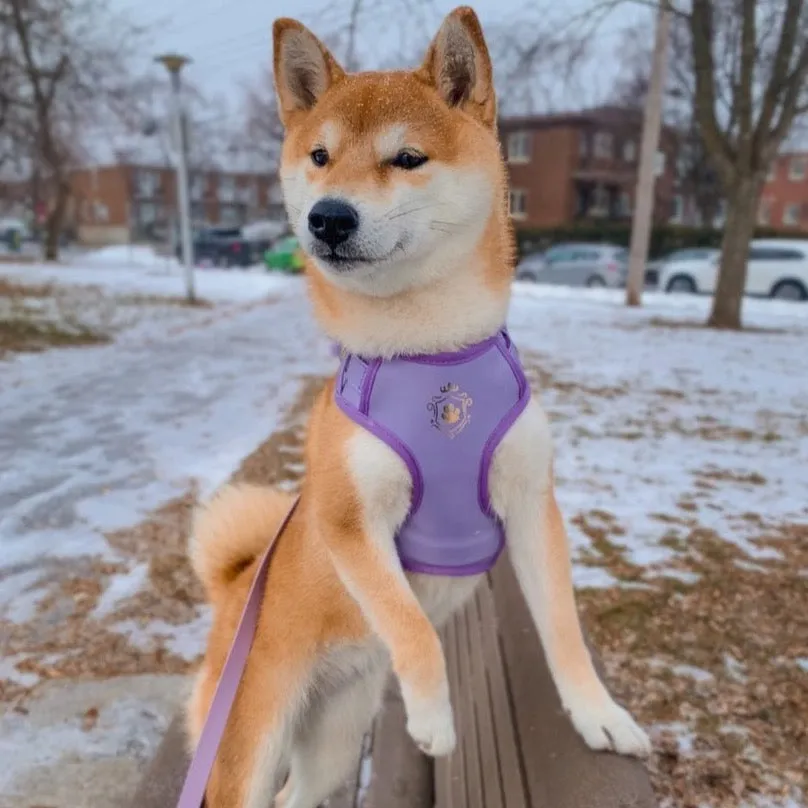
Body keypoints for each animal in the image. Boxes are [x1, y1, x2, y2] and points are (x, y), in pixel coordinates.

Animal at [188, 7, 652, 808]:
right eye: (319, 156)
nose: (328, 217)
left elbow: (563, 629)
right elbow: (414, 626)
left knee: (301, 791)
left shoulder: (531, 503)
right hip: (248, 746)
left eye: (406, 158)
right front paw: (434, 716)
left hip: (334, 741)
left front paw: (599, 714)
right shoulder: (351, 521)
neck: (432, 353)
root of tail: (232, 597)